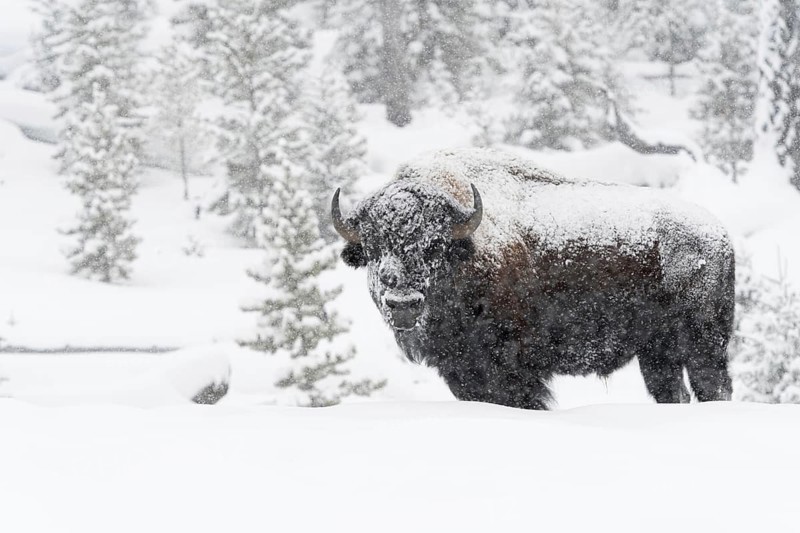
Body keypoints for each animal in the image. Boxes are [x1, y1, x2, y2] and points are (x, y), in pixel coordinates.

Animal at [332, 148, 734, 409]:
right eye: (372, 246)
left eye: (435, 245)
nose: (402, 303)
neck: (468, 249)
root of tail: (718, 235)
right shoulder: (461, 371)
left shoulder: (511, 370)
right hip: (656, 354)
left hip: (702, 346)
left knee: (713, 387)